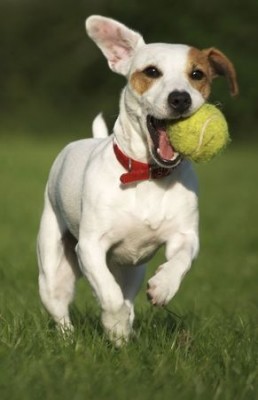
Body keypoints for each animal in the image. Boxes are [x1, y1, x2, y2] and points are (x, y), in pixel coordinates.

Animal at [36, 15, 238, 344]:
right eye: (152, 72)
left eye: (197, 74)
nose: (180, 98)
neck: (147, 174)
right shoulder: (90, 247)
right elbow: (108, 294)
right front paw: (115, 324)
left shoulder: (185, 235)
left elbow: (181, 259)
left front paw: (163, 287)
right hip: (54, 265)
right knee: (61, 306)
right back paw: (71, 339)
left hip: (132, 271)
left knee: (127, 294)